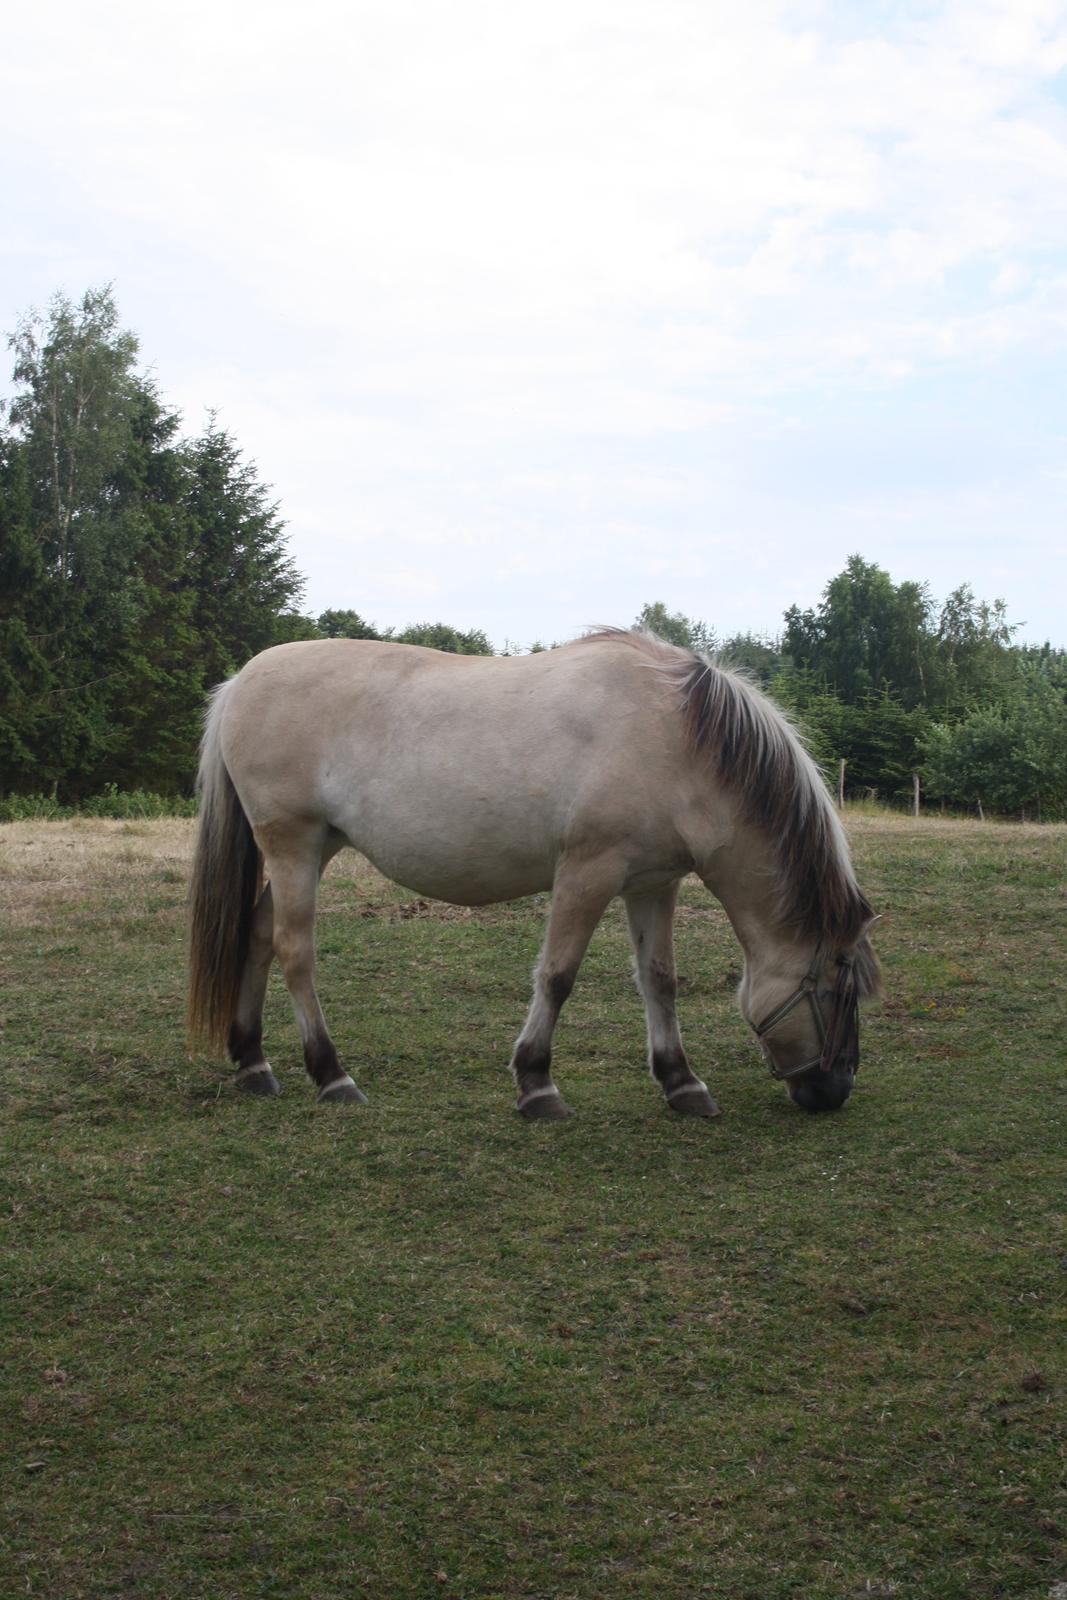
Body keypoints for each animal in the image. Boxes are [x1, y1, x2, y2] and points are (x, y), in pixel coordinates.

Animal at [187, 624, 883, 1113]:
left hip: (313, 849)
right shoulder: (587, 873)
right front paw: (536, 1081)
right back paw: (331, 1075)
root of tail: (239, 682)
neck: (676, 738)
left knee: (257, 935)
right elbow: (557, 976)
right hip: (293, 845)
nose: (837, 1089)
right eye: (838, 981)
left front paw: (681, 1081)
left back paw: (253, 1062)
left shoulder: (654, 883)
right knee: (293, 950)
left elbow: (658, 980)